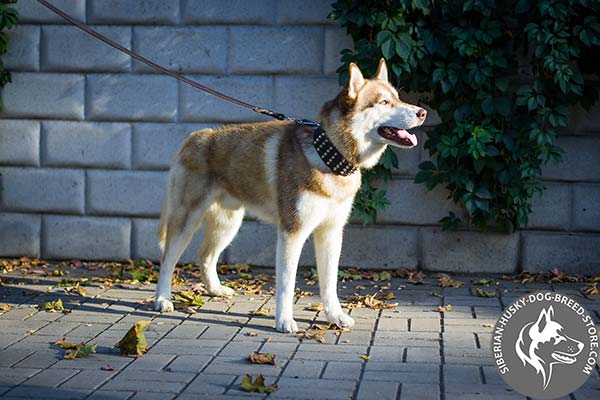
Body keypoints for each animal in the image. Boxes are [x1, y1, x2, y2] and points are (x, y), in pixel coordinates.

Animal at [155, 58, 426, 332]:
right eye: (384, 102)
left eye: (398, 98)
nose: (422, 112)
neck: (329, 155)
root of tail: (193, 137)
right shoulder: (292, 232)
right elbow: (287, 284)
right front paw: (284, 320)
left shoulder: (331, 232)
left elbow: (329, 283)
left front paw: (335, 316)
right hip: (186, 220)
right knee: (167, 260)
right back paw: (162, 300)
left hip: (228, 223)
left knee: (206, 256)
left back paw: (215, 289)